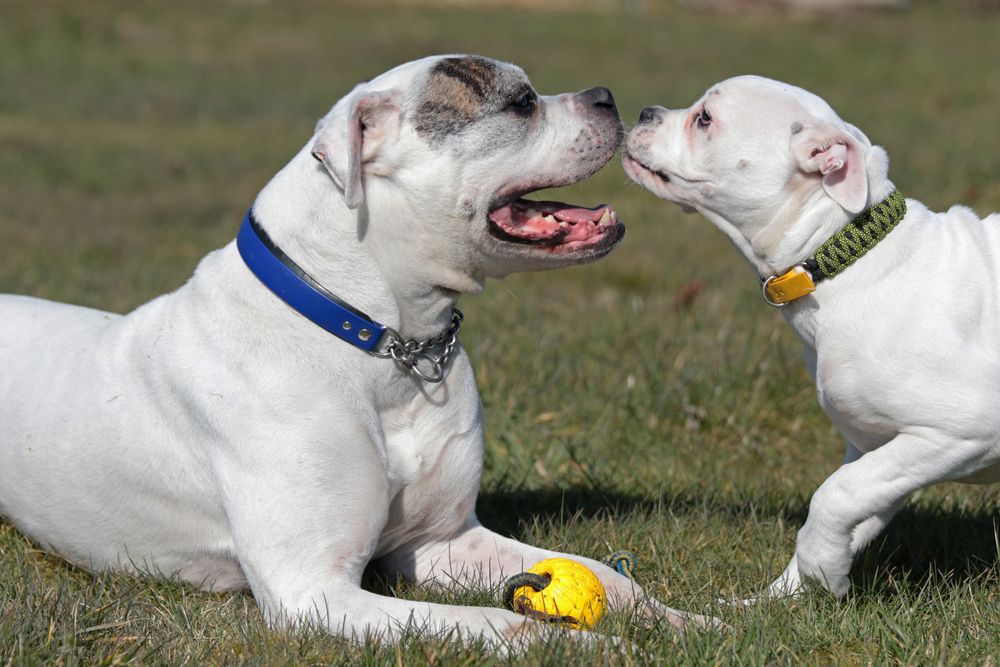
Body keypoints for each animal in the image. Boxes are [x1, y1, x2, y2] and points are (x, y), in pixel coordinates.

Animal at [0, 56, 696, 648]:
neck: (388, 348)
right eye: (521, 103)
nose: (607, 97)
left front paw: (690, 624)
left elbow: (609, 576)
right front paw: (594, 647)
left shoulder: (442, 541)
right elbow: (500, 622)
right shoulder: (312, 589)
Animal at [624, 74, 1000, 600]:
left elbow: (834, 495)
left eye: (705, 119)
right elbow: (850, 506)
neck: (847, 261)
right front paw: (777, 598)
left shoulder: (964, 429)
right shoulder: (876, 447)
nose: (645, 112)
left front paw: (822, 571)